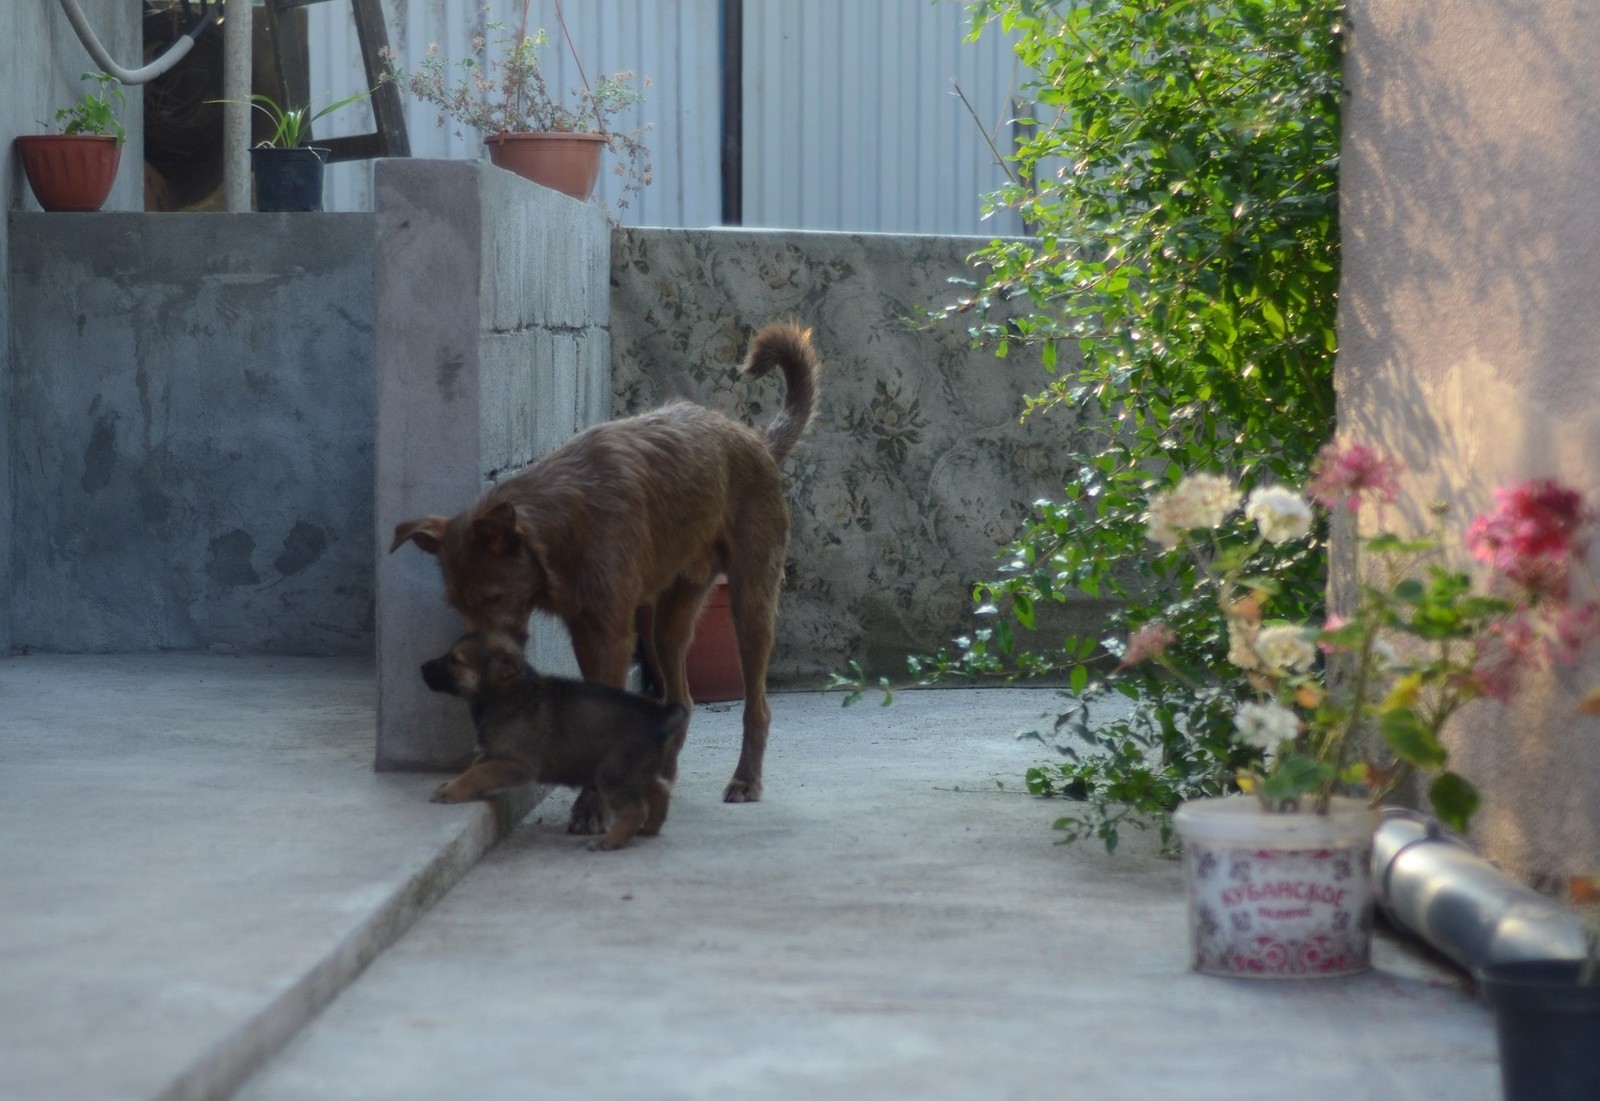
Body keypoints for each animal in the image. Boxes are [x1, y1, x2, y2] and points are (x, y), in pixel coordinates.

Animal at [392, 318, 819, 825]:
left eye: (493, 597)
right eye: (457, 603)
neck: (563, 525)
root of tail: (757, 442)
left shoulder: (612, 634)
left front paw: (591, 807)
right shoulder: (584, 628)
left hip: (750, 600)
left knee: (758, 705)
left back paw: (745, 781)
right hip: (669, 621)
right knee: (683, 698)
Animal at [419, 627, 688, 851]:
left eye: (455, 660)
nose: (422, 667)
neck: (506, 693)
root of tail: (660, 716)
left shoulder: (516, 764)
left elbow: (478, 772)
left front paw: (451, 791)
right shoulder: (495, 754)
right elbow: (476, 766)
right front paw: (452, 783)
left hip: (612, 773)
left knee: (635, 810)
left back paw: (611, 841)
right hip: (632, 772)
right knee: (660, 791)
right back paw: (649, 829)